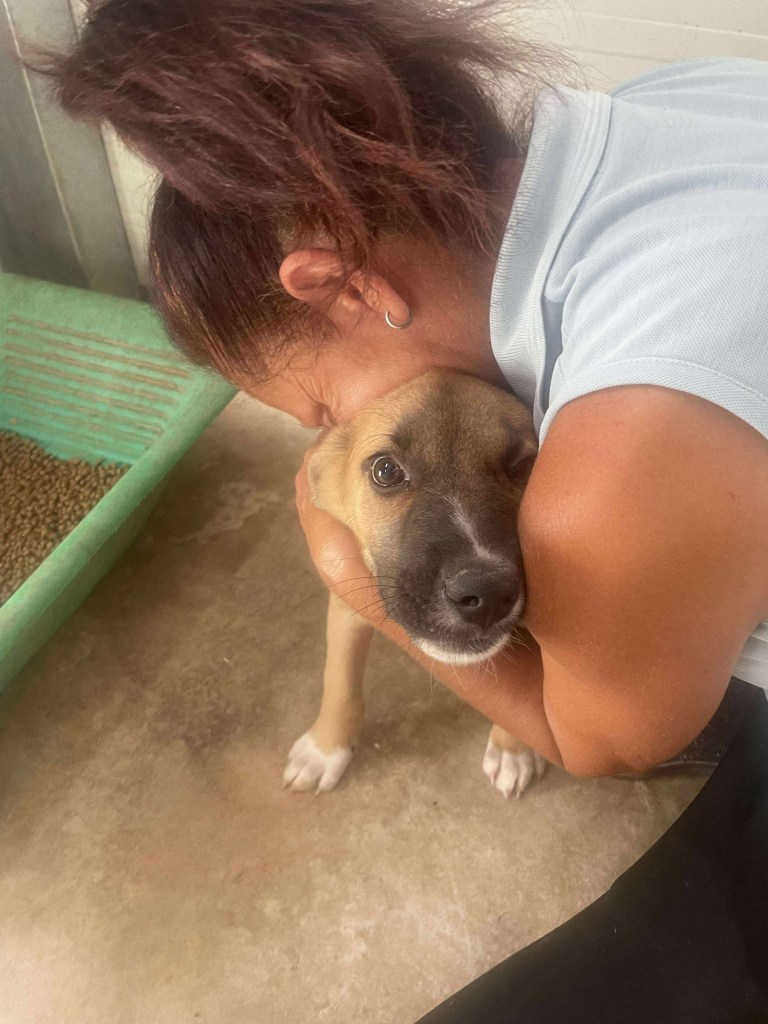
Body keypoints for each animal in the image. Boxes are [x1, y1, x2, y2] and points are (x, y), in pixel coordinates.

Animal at [283, 370, 547, 798]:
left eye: (523, 465)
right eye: (386, 471)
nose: (487, 592)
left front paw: (514, 750)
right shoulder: (347, 596)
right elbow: (339, 678)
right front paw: (324, 750)